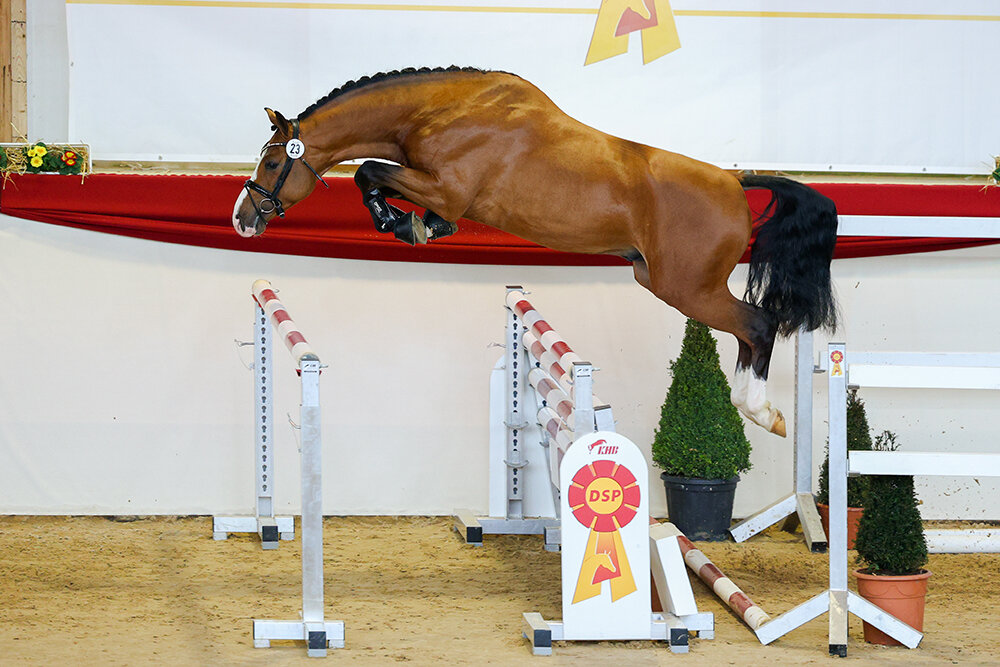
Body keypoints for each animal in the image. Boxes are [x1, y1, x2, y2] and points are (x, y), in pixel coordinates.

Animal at [232, 66, 838, 437]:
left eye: (272, 161)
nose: (241, 219)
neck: (443, 112)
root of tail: (735, 181)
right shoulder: (438, 189)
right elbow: (380, 179)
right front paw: (420, 226)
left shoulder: (445, 186)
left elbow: (369, 173)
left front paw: (400, 224)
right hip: (663, 281)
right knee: (746, 333)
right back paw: (759, 410)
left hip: (686, 286)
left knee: (758, 325)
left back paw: (761, 413)